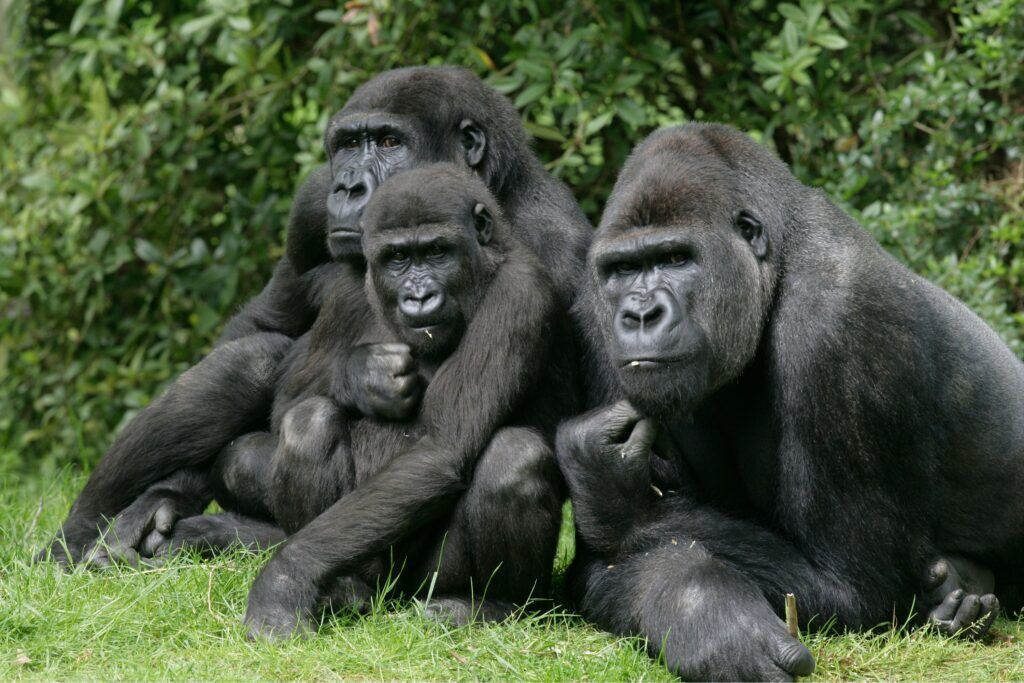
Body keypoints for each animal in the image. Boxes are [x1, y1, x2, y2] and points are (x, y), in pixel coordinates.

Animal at [39, 65, 593, 565]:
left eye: (389, 142)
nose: (348, 187)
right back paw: (86, 531)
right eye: (348, 144)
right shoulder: (308, 202)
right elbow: (264, 325)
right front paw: (165, 496)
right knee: (252, 360)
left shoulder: (557, 241)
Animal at [561, 125, 1024, 679]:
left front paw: (613, 497)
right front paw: (702, 612)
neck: (778, 259)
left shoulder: (840, 320)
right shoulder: (590, 307)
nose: (640, 314)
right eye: (623, 269)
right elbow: (604, 566)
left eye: (676, 258)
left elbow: (853, 589)